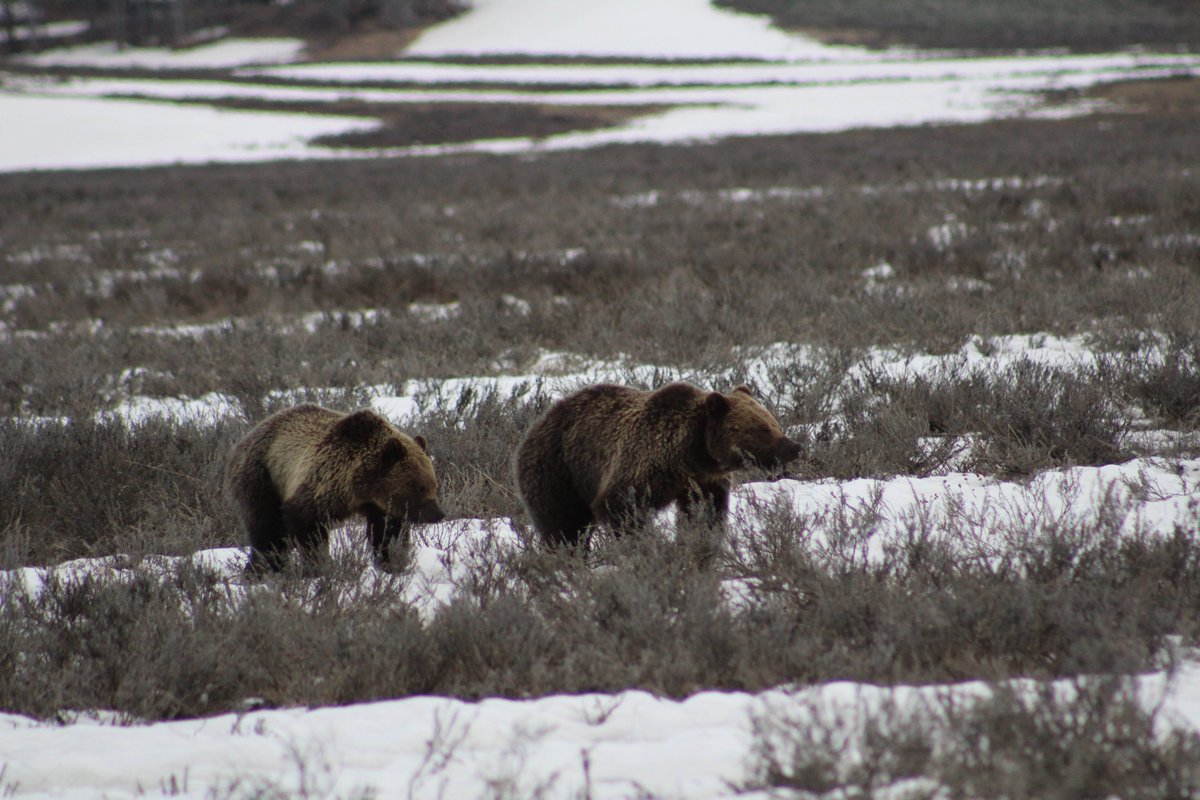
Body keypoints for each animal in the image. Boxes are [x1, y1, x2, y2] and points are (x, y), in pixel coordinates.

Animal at [225, 402, 446, 573]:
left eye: (434, 484)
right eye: (420, 487)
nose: (438, 514)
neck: (362, 486)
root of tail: (243, 440)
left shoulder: (381, 506)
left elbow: (388, 533)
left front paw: (391, 563)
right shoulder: (322, 482)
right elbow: (307, 525)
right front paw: (320, 566)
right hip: (262, 477)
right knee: (269, 530)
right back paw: (264, 569)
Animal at [513, 383, 801, 551]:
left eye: (773, 422)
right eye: (762, 429)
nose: (794, 446)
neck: (692, 455)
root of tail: (537, 424)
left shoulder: (703, 482)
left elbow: (704, 514)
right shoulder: (642, 462)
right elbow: (621, 507)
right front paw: (645, 548)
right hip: (558, 471)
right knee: (563, 525)